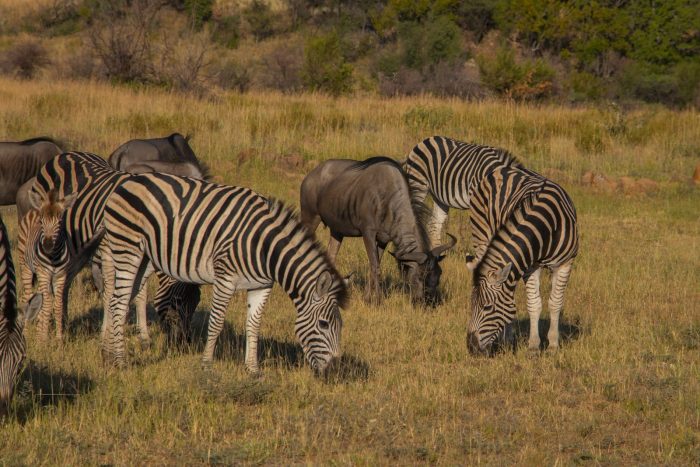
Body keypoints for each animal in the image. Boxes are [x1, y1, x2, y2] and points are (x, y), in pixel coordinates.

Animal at [17, 189, 77, 340]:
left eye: (60, 221)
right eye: (41, 221)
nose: (48, 245)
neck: (54, 255)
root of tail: (33, 209)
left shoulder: (60, 276)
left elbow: (58, 304)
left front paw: (59, 339)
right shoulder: (44, 274)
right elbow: (48, 304)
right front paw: (43, 339)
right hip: (26, 268)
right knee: (27, 295)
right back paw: (25, 332)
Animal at [31, 151, 200, 348]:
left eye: (197, 302)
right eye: (178, 302)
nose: (187, 343)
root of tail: (65, 154)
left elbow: (141, 293)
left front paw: (143, 336)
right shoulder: (109, 252)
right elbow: (111, 292)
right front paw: (107, 335)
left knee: (66, 282)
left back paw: (64, 323)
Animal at [100, 172, 348, 374]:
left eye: (341, 326)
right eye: (324, 324)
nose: (335, 370)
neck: (264, 247)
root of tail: (129, 180)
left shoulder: (261, 285)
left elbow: (254, 324)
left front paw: (253, 369)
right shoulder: (225, 279)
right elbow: (216, 322)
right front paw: (207, 365)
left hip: (144, 258)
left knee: (120, 299)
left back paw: (108, 353)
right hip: (127, 248)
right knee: (119, 301)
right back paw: (120, 361)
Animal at [466, 165, 579, 355]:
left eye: (487, 307)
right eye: (471, 305)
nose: (471, 347)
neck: (547, 226)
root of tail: (504, 168)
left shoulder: (565, 263)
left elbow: (555, 302)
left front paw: (553, 345)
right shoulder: (531, 266)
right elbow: (534, 304)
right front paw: (533, 346)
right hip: (481, 236)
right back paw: (507, 339)